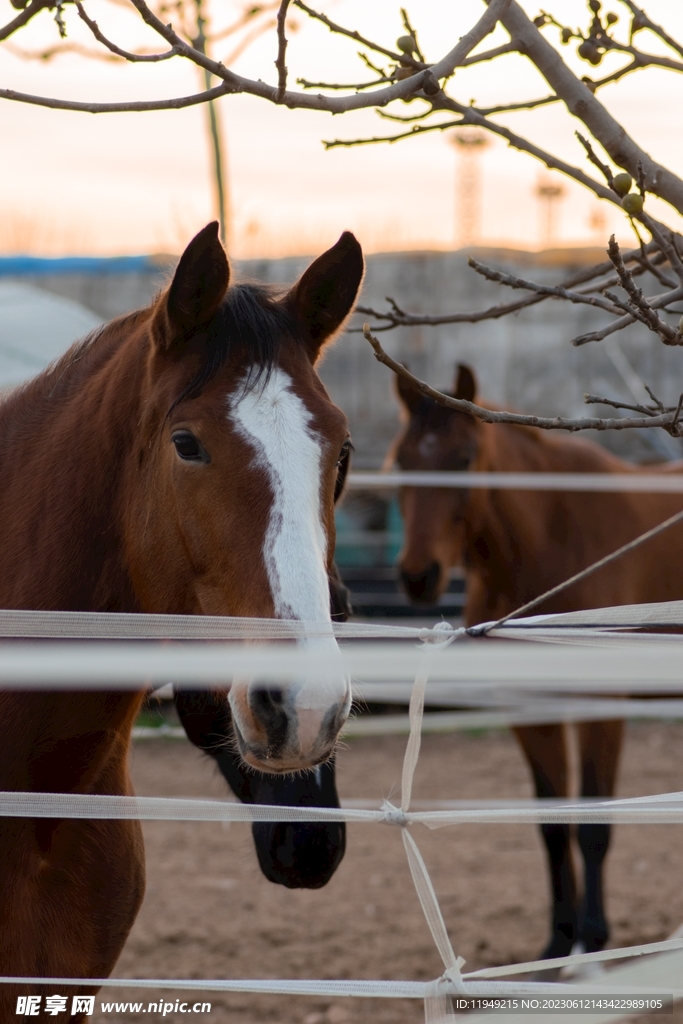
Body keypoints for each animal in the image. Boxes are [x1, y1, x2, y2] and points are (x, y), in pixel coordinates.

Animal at [391, 363, 683, 964]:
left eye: (464, 458)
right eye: (403, 458)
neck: (552, 542)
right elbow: (551, 823)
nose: (418, 576)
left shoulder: (600, 706)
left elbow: (593, 824)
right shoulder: (528, 707)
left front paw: (593, 940)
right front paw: (557, 943)